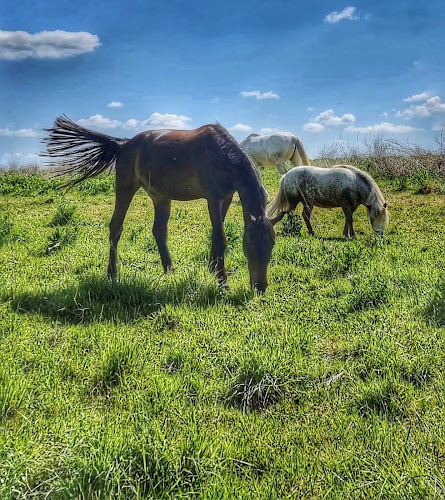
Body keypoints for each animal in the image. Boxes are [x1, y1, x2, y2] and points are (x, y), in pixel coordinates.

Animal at [43, 115, 276, 292]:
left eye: (271, 245)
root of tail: (123, 144)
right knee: (116, 228)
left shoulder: (225, 198)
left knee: (159, 231)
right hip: (126, 188)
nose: (261, 287)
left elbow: (214, 234)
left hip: (161, 197)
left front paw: (212, 269)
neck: (224, 155)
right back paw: (113, 274)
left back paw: (169, 269)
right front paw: (222, 282)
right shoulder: (213, 199)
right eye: (249, 246)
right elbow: (221, 238)